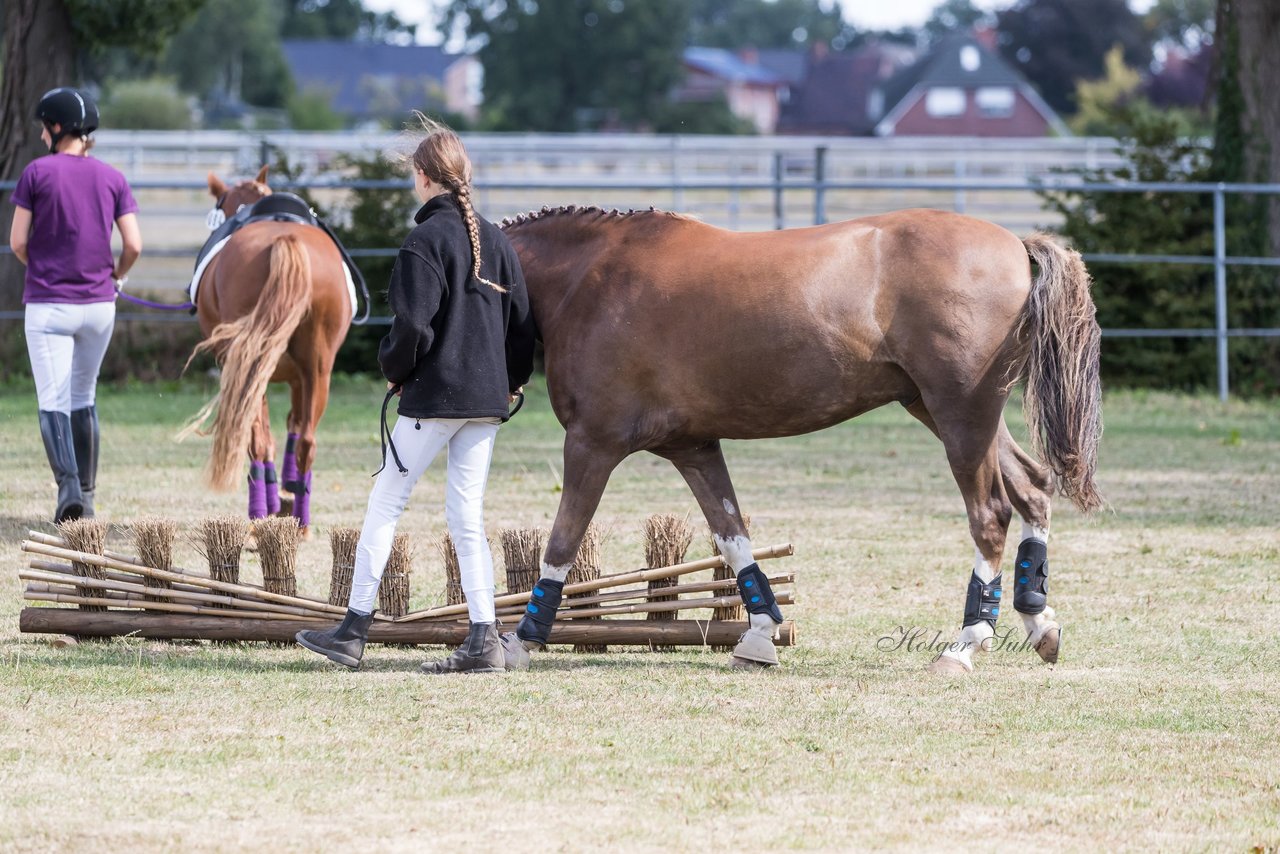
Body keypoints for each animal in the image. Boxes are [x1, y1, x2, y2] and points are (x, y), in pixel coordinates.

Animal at [180, 169, 350, 535]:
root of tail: (285, 238)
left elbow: (269, 431)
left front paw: (277, 498)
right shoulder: (297, 377)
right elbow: (293, 424)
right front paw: (287, 493)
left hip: (249, 364)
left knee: (256, 438)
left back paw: (259, 512)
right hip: (317, 369)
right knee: (306, 441)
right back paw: (301, 520)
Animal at [504, 204, 1105, 676]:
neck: (589, 279)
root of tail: (1016, 245)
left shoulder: (592, 444)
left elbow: (562, 541)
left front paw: (521, 639)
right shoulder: (693, 448)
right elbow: (732, 536)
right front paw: (759, 634)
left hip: (962, 416)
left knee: (991, 515)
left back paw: (964, 645)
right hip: (950, 413)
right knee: (1033, 487)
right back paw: (1038, 622)